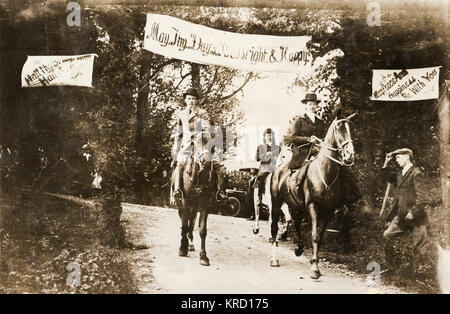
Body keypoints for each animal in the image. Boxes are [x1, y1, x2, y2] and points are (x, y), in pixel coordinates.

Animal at [268, 113, 356, 278]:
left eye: (350, 129)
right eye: (339, 129)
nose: (350, 155)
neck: (325, 172)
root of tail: (278, 169)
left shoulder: (328, 211)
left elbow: (319, 238)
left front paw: (313, 262)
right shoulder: (313, 207)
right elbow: (314, 236)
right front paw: (315, 269)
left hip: (296, 205)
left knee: (295, 222)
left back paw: (299, 248)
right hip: (276, 202)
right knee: (275, 227)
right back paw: (274, 259)